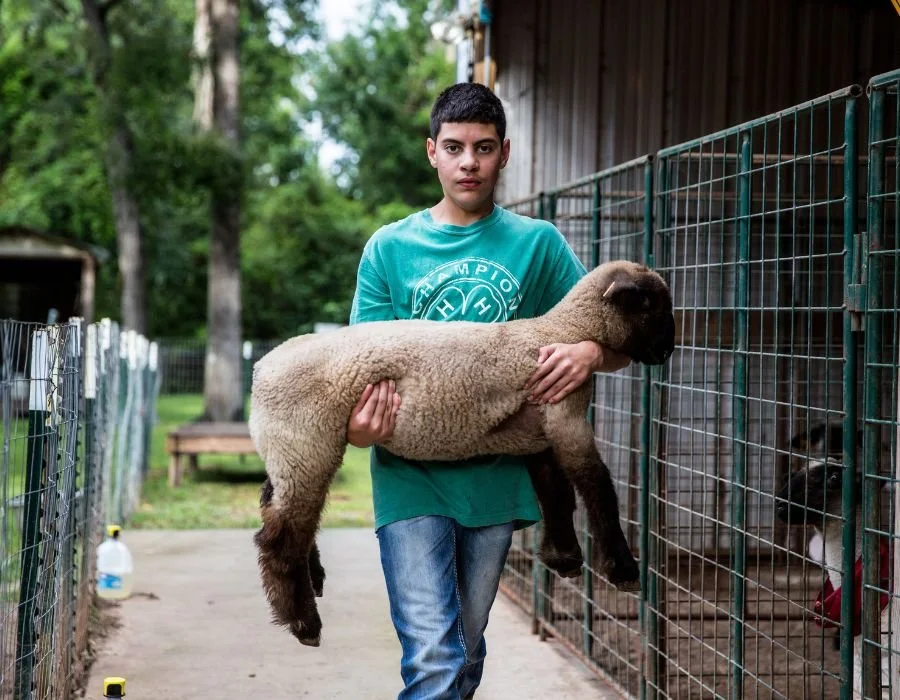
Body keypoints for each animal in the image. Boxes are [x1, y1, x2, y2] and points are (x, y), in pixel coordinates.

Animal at [248, 259, 676, 647]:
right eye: (649, 304)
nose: (668, 350)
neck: (563, 332)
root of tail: (261, 369)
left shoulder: (539, 433)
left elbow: (556, 491)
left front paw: (563, 556)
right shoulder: (567, 419)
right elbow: (597, 488)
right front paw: (623, 569)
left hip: (288, 450)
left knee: (277, 508)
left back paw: (314, 579)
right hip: (306, 444)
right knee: (281, 538)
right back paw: (304, 622)